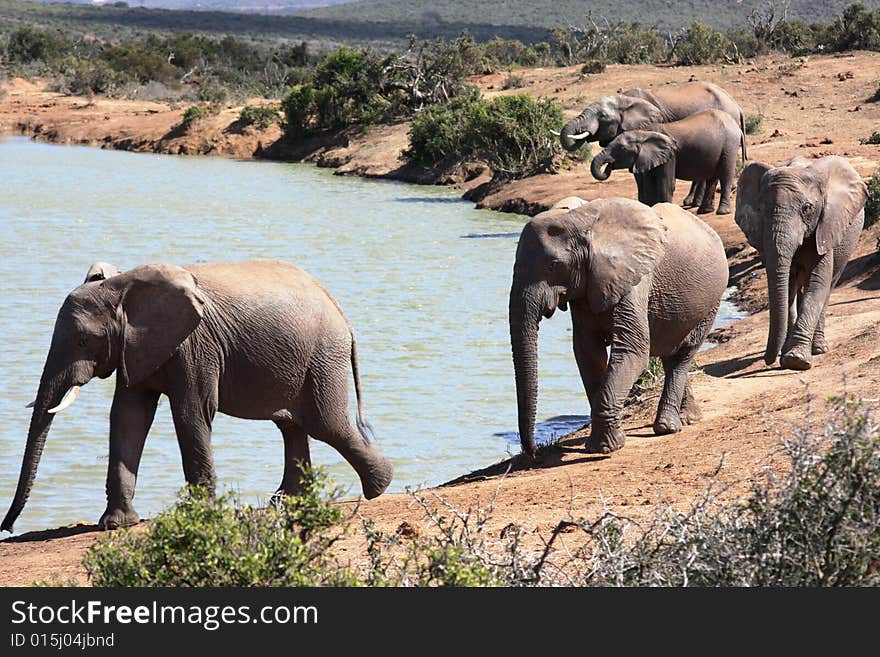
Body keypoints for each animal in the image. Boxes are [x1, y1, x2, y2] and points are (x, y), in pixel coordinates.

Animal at [0, 258, 392, 532]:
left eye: (83, 340)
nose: (7, 528)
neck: (121, 286)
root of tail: (341, 311)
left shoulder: (193, 346)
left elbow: (191, 413)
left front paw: (198, 515)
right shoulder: (136, 348)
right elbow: (128, 416)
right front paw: (115, 525)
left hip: (322, 356)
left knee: (325, 423)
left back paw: (379, 487)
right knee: (291, 424)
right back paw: (286, 502)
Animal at [508, 197, 728, 458]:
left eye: (553, 265)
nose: (534, 452)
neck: (582, 221)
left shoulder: (634, 279)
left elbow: (632, 352)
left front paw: (605, 448)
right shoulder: (586, 287)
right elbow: (587, 352)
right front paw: (603, 442)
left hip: (711, 301)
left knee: (682, 355)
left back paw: (667, 427)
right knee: (670, 354)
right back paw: (689, 419)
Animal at [588, 110, 744, 215]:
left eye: (621, 149)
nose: (608, 166)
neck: (643, 133)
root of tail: (735, 125)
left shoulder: (670, 155)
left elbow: (665, 183)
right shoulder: (649, 158)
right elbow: (649, 185)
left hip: (729, 144)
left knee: (725, 175)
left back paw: (722, 211)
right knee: (712, 178)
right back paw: (705, 211)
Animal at [736, 154, 868, 368]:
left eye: (807, 209)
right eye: (761, 209)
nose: (768, 360)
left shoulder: (825, 228)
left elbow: (817, 283)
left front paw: (796, 360)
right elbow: (787, 286)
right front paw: (787, 355)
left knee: (828, 286)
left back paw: (819, 348)